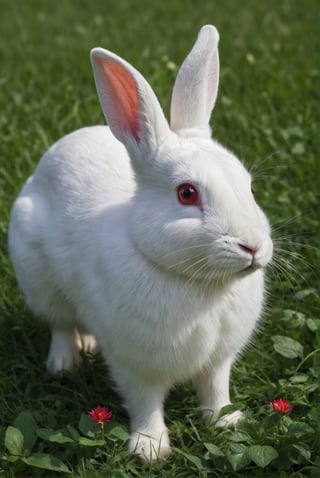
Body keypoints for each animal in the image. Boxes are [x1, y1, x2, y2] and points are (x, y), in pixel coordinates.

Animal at [8, 25, 272, 460]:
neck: (198, 284)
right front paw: (150, 449)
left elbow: (216, 391)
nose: (251, 247)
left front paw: (227, 423)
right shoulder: (135, 364)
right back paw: (65, 362)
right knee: (61, 325)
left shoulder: (219, 361)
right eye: (186, 194)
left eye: (249, 187)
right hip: (38, 279)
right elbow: (145, 402)